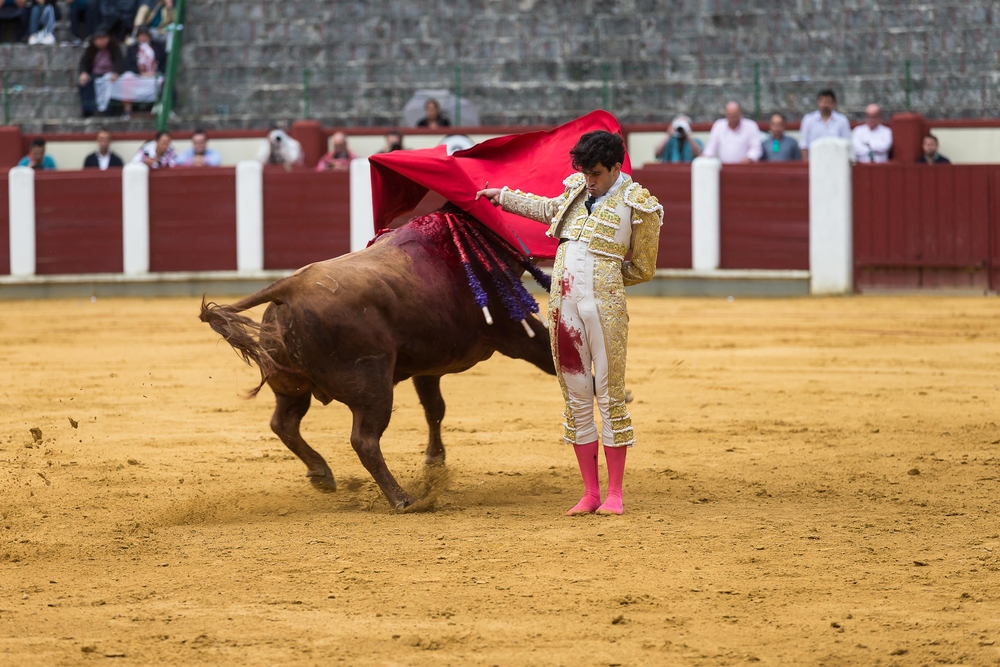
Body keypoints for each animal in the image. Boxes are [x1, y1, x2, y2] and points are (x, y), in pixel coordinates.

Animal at [197, 210, 556, 512]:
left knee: (283, 423)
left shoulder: (428, 364)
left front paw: (434, 463)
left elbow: (434, 408)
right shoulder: (515, 330)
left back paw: (322, 474)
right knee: (364, 440)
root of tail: (290, 287)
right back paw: (403, 500)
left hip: (291, 384)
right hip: (371, 386)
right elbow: (549, 357)